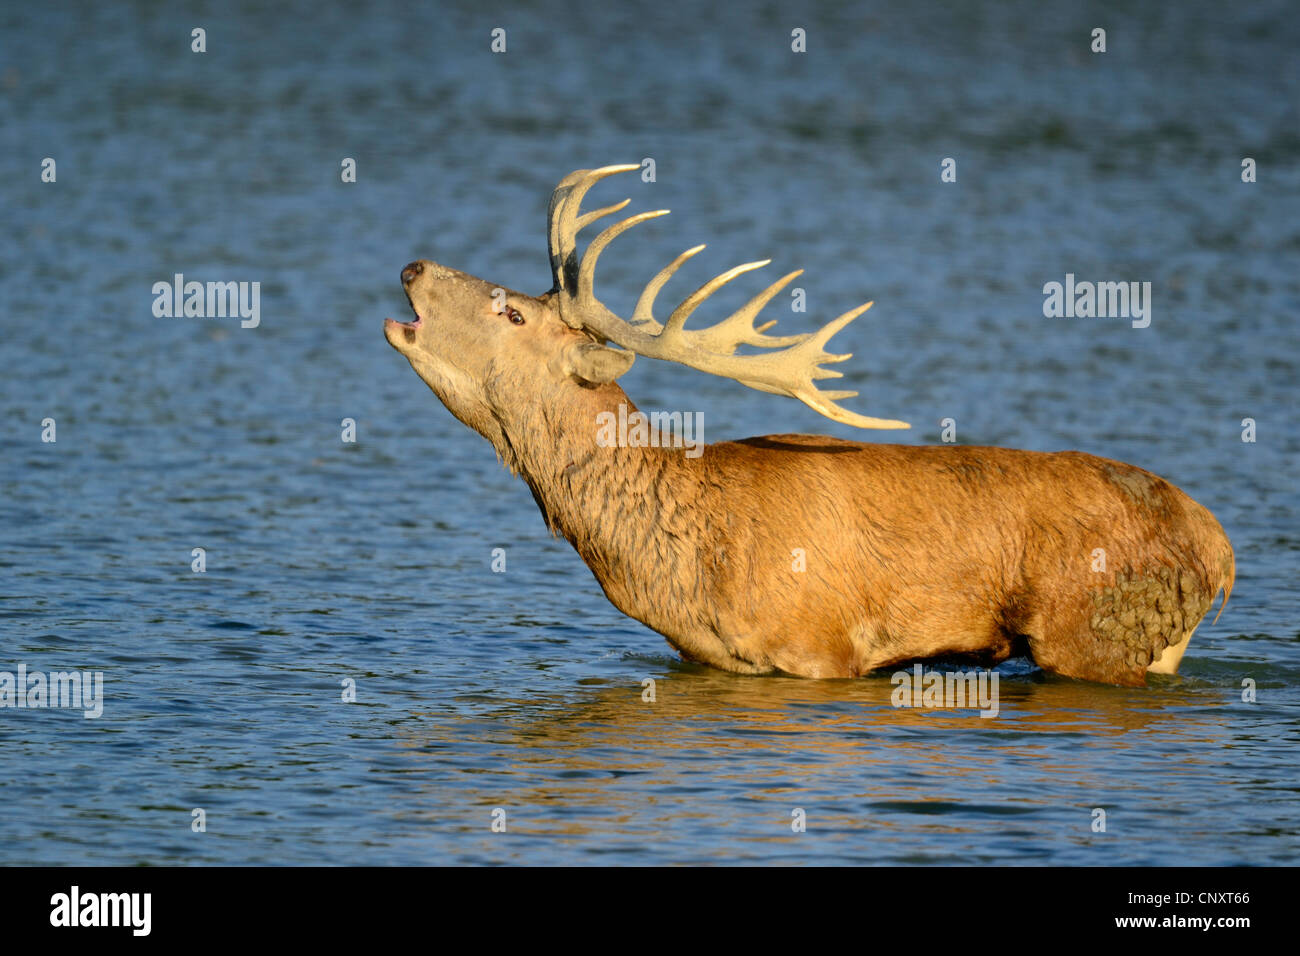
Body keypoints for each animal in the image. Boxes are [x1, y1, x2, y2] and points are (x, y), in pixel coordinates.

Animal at [384, 164, 1234, 687]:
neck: (682, 564)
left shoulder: (821, 647)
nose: (413, 266)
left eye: (515, 313)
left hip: (1092, 626)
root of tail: (1219, 548)